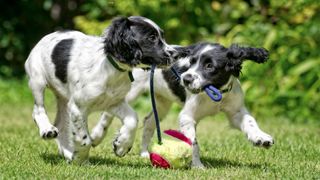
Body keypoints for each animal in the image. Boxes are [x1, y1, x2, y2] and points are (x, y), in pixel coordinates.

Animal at [24, 16, 180, 164]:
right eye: (151, 38)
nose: (176, 54)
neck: (110, 69)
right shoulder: (78, 108)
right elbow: (84, 139)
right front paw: (81, 161)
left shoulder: (113, 102)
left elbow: (132, 119)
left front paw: (121, 145)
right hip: (37, 79)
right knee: (37, 110)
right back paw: (47, 130)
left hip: (63, 98)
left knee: (61, 126)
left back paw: (68, 154)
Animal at [90, 41, 276, 167]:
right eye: (191, 62)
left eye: (209, 66)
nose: (185, 79)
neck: (213, 92)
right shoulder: (187, 117)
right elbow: (193, 142)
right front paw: (198, 166)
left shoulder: (236, 111)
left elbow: (250, 122)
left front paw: (261, 138)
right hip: (129, 92)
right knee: (108, 114)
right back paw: (98, 137)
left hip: (162, 102)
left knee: (149, 122)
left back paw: (144, 153)